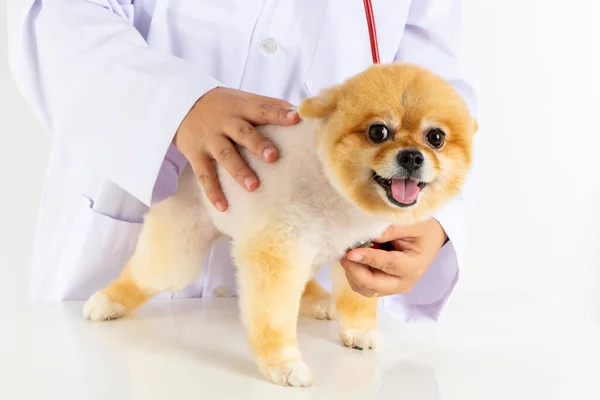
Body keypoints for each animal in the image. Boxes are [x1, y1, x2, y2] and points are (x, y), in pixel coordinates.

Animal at [83, 63, 478, 388]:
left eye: (436, 138)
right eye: (378, 132)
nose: (412, 156)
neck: (333, 189)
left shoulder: (359, 252)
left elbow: (357, 300)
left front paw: (358, 331)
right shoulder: (276, 252)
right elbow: (272, 319)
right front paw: (283, 366)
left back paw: (319, 301)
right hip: (182, 246)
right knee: (150, 274)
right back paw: (106, 301)